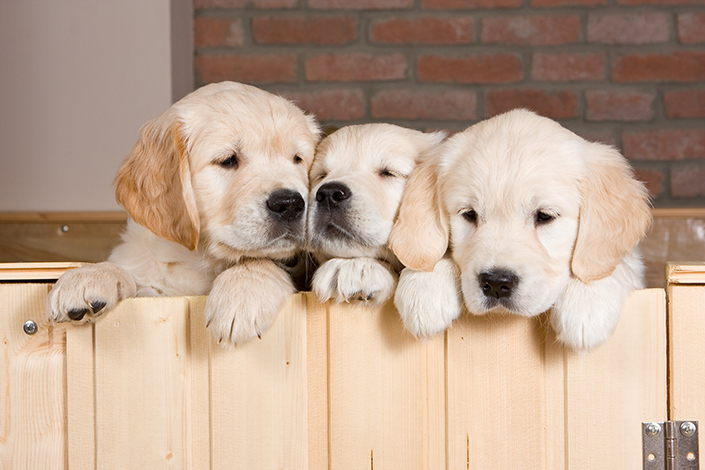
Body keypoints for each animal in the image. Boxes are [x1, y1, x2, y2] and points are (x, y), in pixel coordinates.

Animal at [45, 81, 318, 346]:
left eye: (297, 159)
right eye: (228, 160)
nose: (290, 203)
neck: (197, 261)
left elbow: (260, 260)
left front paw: (243, 291)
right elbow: (130, 270)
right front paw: (90, 276)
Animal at [390, 107, 648, 348]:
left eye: (544, 216)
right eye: (470, 214)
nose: (496, 283)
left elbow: (616, 266)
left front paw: (586, 302)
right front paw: (424, 288)